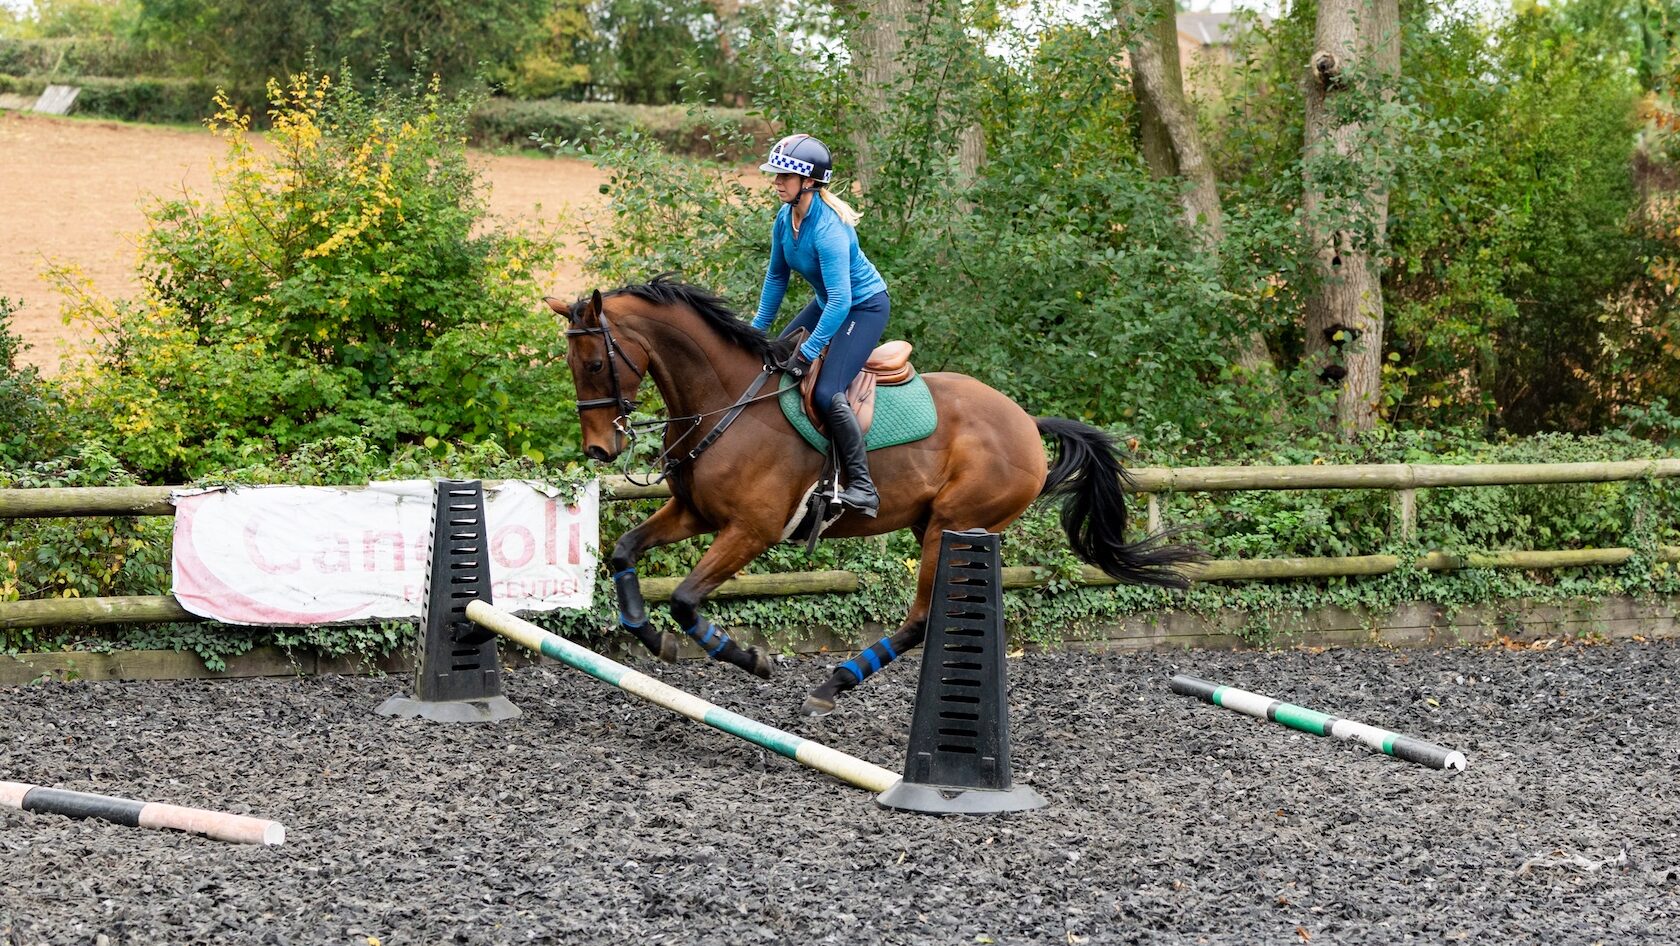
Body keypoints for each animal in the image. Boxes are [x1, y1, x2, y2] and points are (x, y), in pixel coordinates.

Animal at [548, 275, 1200, 716]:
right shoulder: (693, 512)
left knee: (920, 619)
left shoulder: (752, 531)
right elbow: (625, 552)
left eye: (594, 361)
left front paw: (752, 659)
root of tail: (1025, 422)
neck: (726, 402)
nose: (599, 450)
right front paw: (650, 636)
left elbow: (685, 600)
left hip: (953, 526)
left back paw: (830, 685)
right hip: (933, 524)